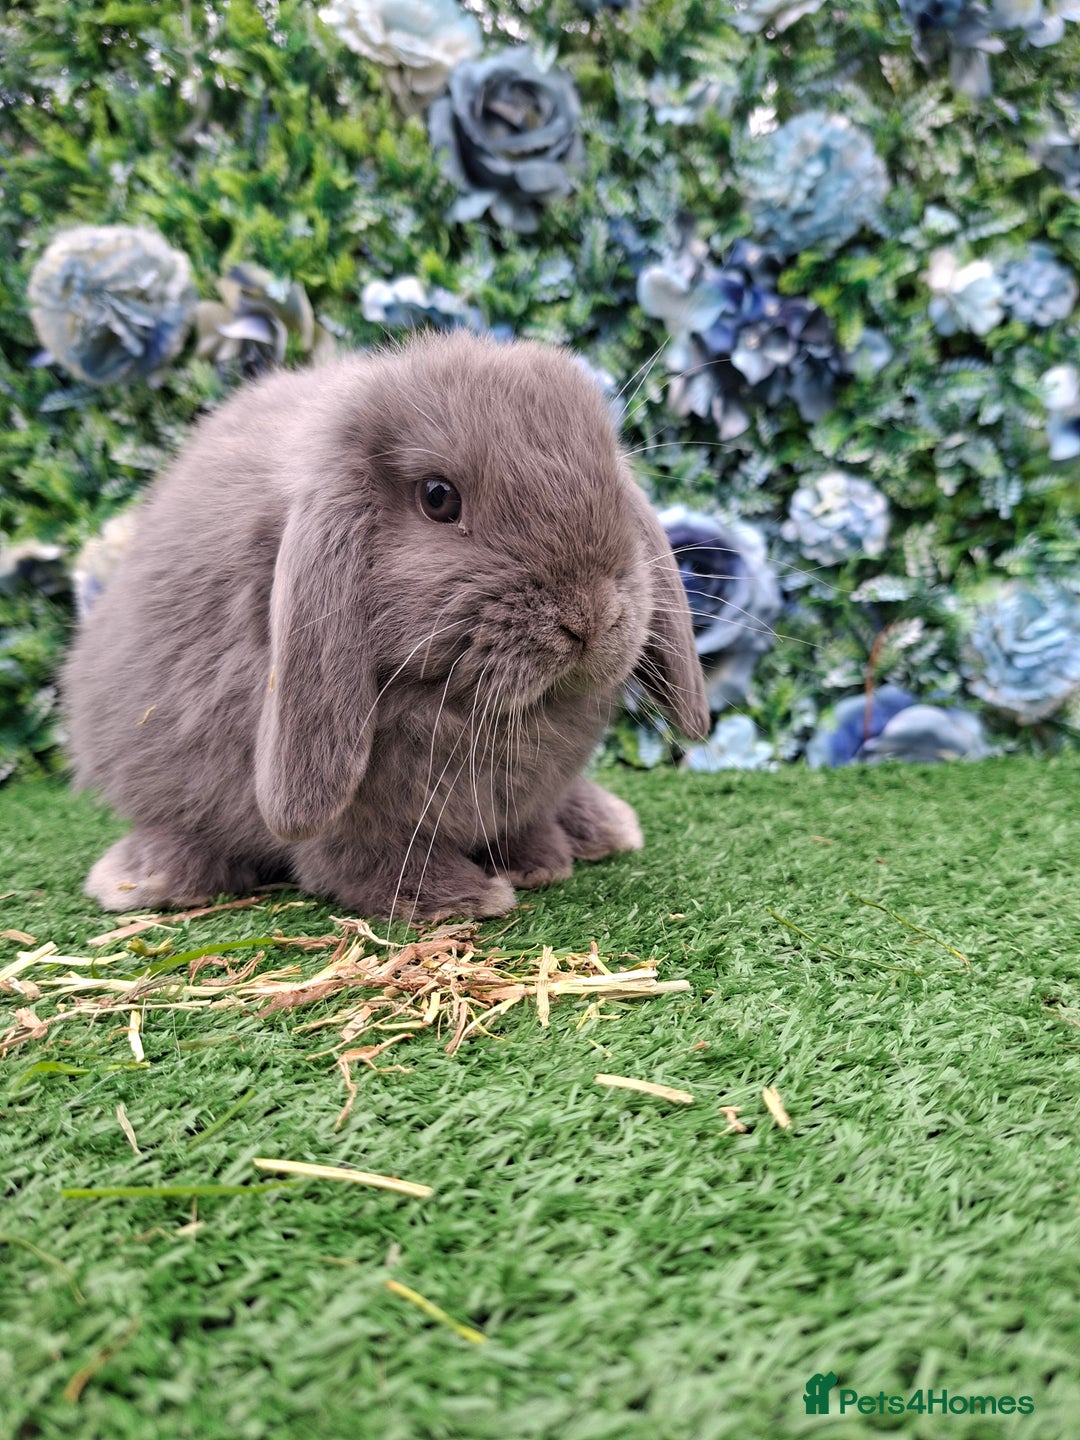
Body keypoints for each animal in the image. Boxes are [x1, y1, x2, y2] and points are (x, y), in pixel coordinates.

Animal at [63, 331, 709, 921]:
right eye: (438, 497)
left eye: (613, 481)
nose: (589, 616)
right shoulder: (349, 820)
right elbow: (368, 862)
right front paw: (466, 897)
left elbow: (526, 823)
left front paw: (540, 862)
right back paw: (146, 879)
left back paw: (602, 825)